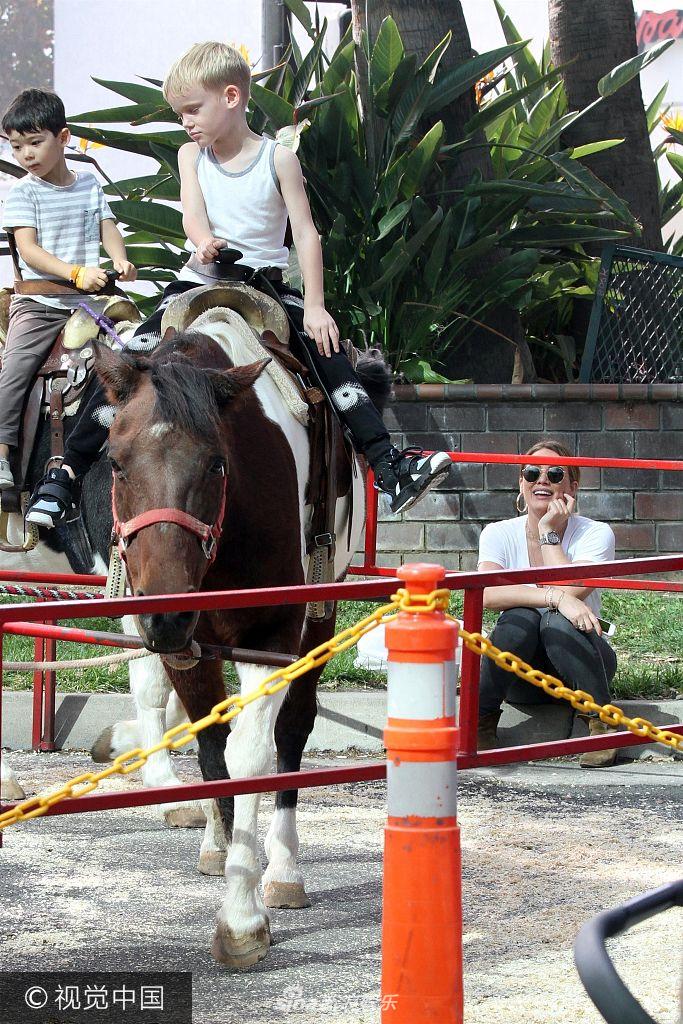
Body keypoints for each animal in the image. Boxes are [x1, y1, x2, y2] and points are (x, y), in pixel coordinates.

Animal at [95, 325, 368, 966]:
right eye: (115, 463)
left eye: (217, 463)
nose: (164, 614)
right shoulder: (186, 643)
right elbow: (213, 749)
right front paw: (222, 850)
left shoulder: (270, 638)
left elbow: (250, 756)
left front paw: (243, 918)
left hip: (319, 617)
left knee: (293, 728)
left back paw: (284, 870)